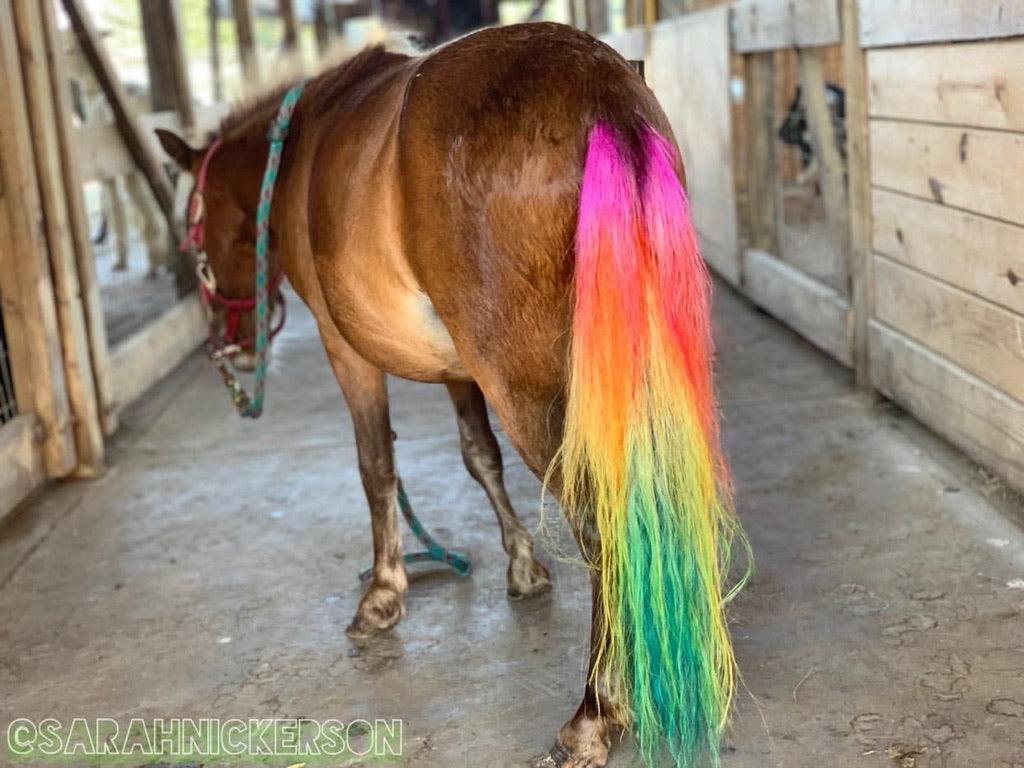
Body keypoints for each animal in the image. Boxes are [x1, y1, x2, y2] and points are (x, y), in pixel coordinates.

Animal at [155, 20, 741, 765]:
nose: (230, 351)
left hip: (528, 388)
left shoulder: (345, 351)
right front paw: (522, 565)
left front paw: (383, 594)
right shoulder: (462, 369)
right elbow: (477, 454)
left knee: (598, 522)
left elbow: (376, 467)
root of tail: (603, 93)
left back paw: (594, 713)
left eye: (192, 232)